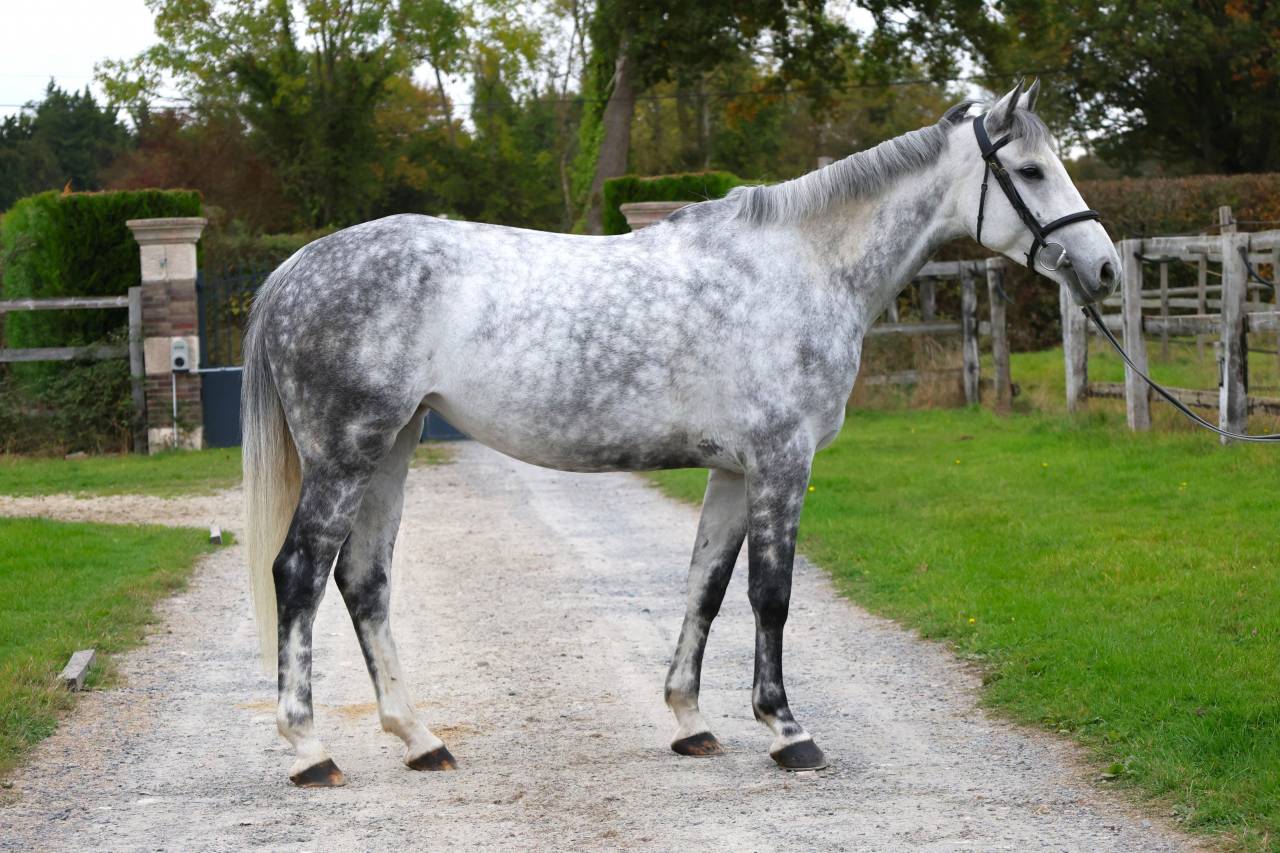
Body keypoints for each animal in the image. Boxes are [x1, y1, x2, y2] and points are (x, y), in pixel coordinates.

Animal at [241, 79, 1120, 787]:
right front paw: (788, 730)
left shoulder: (733, 471)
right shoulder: (781, 462)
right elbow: (771, 594)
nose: (1106, 268)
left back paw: (421, 739)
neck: (800, 269)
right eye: (1032, 172)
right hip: (347, 453)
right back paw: (310, 750)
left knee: (365, 581)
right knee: (300, 574)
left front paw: (691, 721)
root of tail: (292, 270)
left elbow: (707, 584)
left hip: (391, 447)